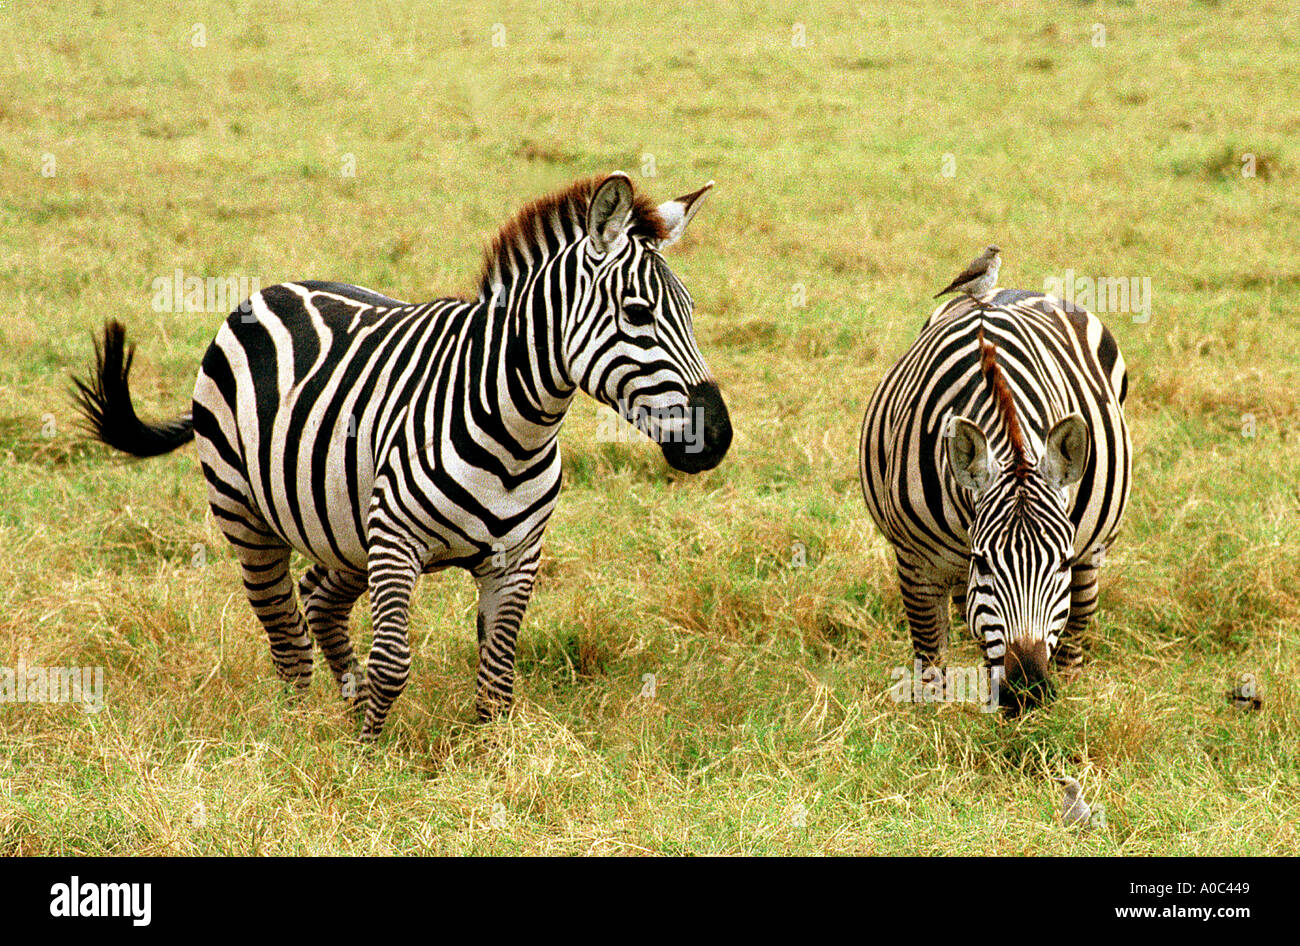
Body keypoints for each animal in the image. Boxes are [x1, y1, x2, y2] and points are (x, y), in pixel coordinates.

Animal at [73, 172, 732, 740]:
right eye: (638, 314)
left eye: (692, 312)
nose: (718, 436)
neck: (516, 430)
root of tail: (271, 290)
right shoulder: (396, 542)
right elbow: (393, 660)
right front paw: (367, 762)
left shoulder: (517, 557)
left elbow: (498, 672)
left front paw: (489, 756)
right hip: (247, 514)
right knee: (286, 635)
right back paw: (296, 730)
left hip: (341, 526)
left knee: (319, 599)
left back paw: (347, 701)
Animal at [858, 289, 1131, 706]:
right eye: (983, 562)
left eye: (1062, 563)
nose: (1027, 690)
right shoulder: (915, 561)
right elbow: (930, 655)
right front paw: (931, 718)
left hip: (1094, 551)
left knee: (1079, 622)